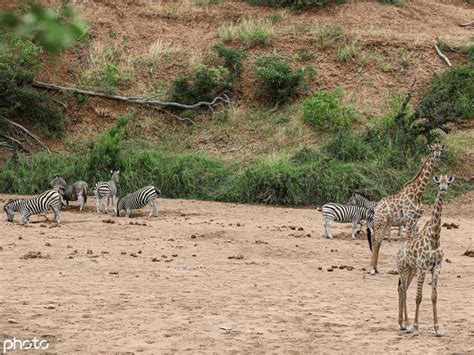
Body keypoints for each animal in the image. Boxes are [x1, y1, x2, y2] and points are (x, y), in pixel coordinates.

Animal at [366, 143, 444, 276]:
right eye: (433, 150)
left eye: (441, 150)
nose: (437, 157)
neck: (418, 193)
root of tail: (377, 206)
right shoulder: (409, 219)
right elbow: (408, 239)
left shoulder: (415, 220)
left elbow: (413, 239)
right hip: (380, 221)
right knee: (375, 239)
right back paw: (371, 269)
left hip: (387, 222)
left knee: (379, 240)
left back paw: (376, 268)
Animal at [394, 177, 454, 338]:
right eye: (438, 182)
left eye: (448, 182)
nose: (443, 189)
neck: (434, 239)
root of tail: (398, 252)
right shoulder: (422, 268)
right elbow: (418, 297)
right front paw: (415, 328)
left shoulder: (436, 268)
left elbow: (434, 297)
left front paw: (437, 329)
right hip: (404, 268)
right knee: (403, 290)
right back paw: (408, 325)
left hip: (411, 270)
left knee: (402, 289)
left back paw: (402, 324)